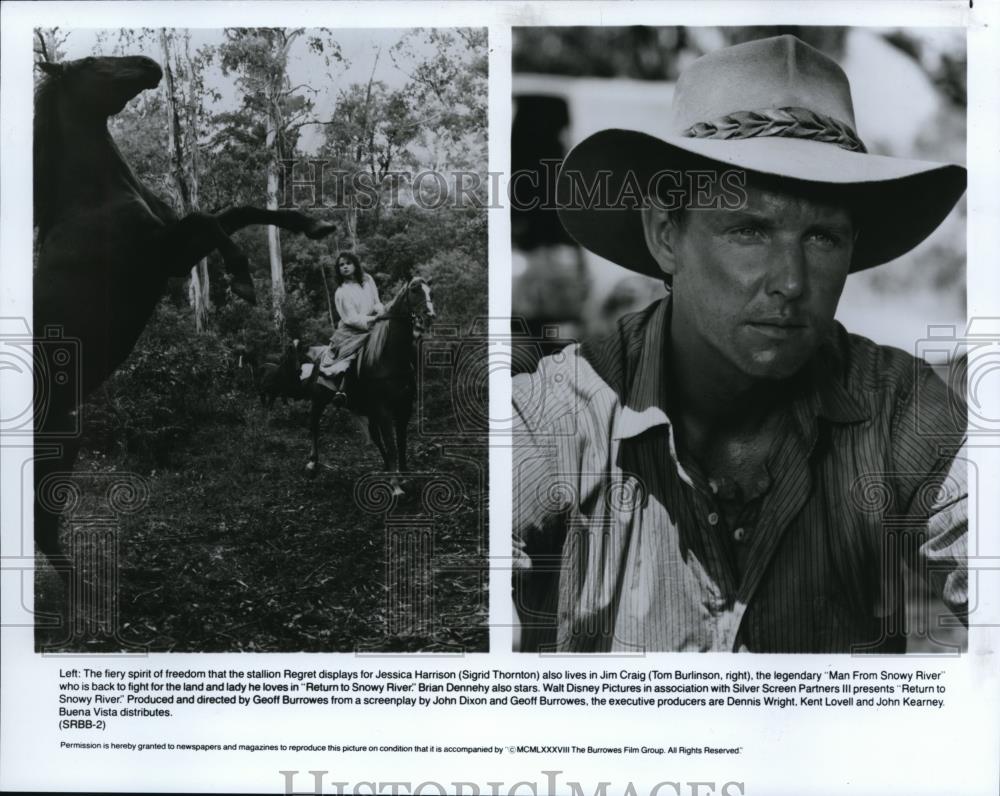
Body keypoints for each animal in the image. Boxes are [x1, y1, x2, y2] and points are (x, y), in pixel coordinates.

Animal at [34, 56, 336, 588]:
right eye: (91, 64)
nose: (149, 65)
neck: (94, 201)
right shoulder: (167, 254)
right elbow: (207, 220)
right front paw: (242, 278)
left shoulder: (174, 250)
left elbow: (238, 210)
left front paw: (314, 225)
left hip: (62, 440)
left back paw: (80, 585)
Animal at [300, 276, 434, 494]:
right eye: (414, 290)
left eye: (431, 292)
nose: (428, 316)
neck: (389, 357)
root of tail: (319, 355)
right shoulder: (384, 409)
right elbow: (392, 443)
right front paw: (396, 485)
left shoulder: (403, 406)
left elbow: (401, 442)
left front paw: (403, 476)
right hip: (319, 400)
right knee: (314, 425)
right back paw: (312, 464)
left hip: (366, 409)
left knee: (375, 436)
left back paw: (387, 467)